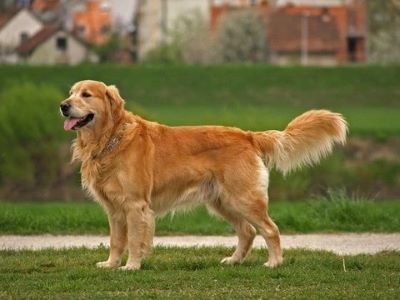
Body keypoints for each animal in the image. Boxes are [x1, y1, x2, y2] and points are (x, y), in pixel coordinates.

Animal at [59, 79, 346, 270]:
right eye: (71, 93)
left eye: (86, 95)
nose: (63, 106)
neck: (110, 139)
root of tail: (247, 135)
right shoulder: (114, 209)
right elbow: (116, 241)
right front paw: (110, 264)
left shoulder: (135, 205)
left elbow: (135, 239)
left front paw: (131, 266)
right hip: (222, 201)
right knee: (247, 232)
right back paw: (233, 260)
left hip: (243, 198)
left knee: (269, 229)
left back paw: (273, 263)